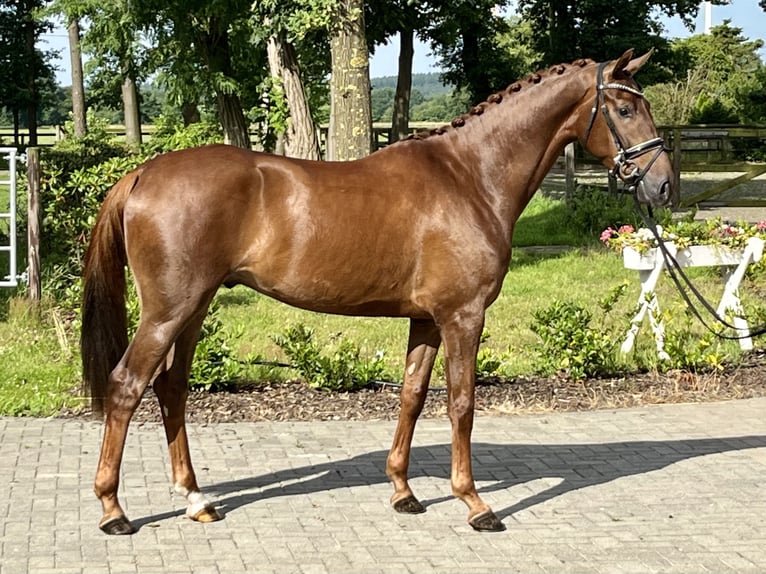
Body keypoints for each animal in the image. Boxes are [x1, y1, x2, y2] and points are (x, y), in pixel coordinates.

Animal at [79, 49, 680, 536]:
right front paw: (475, 503)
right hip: (169, 311)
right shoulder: (464, 317)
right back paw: (112, 510)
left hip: (195, 308)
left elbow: (412, 396)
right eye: (625, 109)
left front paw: (404, 492)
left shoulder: (428, 320)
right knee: (127, 385)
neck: (470, 176)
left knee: (171, 389)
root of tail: (142, 174)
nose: (663, 186)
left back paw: (196, 500)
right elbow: (462, 403)